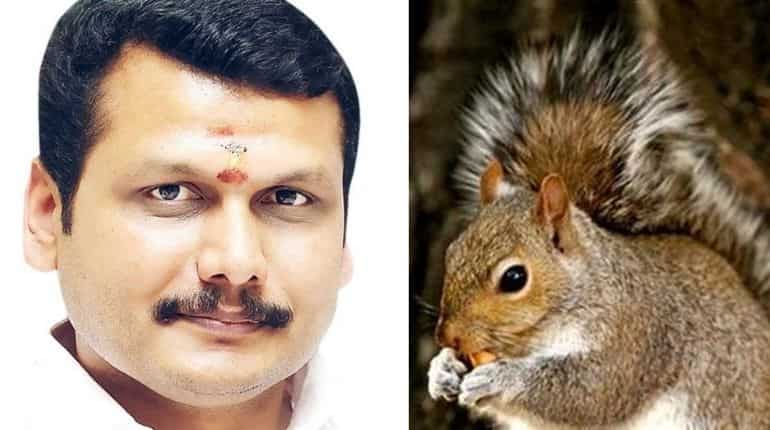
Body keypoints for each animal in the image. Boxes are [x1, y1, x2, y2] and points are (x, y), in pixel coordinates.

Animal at [427, 27, 770, 428]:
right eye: (452, 253)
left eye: (514, 278)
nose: (447, 336)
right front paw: (442, 369)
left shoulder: (633, 336)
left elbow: (590, 394)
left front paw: (503, 378)